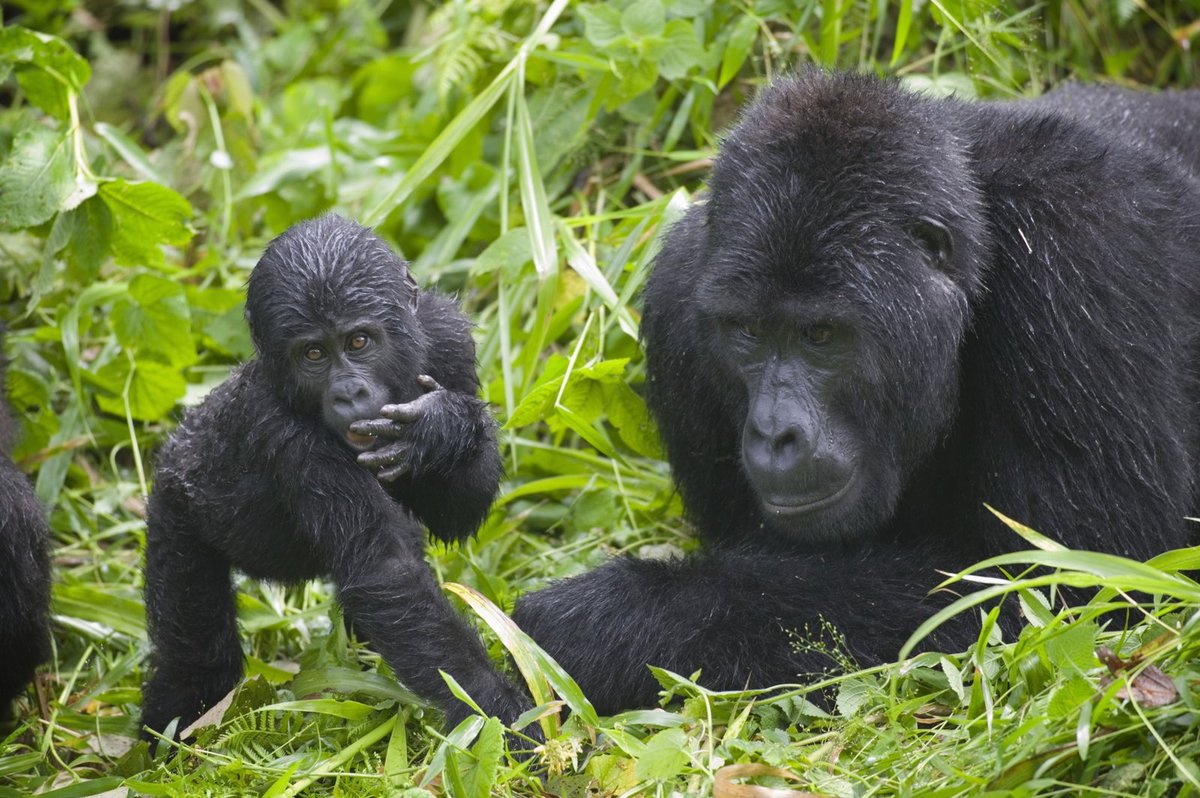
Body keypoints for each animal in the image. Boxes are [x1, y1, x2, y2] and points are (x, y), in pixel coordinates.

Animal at [142, 213, 528, 739]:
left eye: (358, 342)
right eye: (313, 355)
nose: (349, 393)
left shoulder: (449, 336)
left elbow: (455, 515)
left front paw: (444, 427)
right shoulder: (281, 429)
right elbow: (385, 569)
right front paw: (501, 712)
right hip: (175, 512)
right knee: (196, 660)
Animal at [513, 71, 1200, 710]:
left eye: (820, 335)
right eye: (747, 332)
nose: (774, 433)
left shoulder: (1079, 246)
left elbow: (1073, 587)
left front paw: (608, 622)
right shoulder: (678, 298)